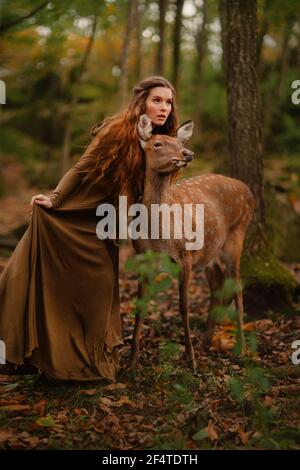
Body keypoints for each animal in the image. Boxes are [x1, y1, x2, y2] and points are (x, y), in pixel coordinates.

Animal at [127, 114, 254, 370]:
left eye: (178, 142)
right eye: (158, 144)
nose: (187, 153)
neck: (158, 235)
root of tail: (249, 191)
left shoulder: (184, 256)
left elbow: (183, 306)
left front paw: (190, 358)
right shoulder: (143, 258)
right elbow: (140, 306)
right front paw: (132, 361)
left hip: (236, 237)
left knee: (237, 287)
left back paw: (239, 349)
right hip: (209, 251)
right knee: (217, 285)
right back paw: (206, 341)